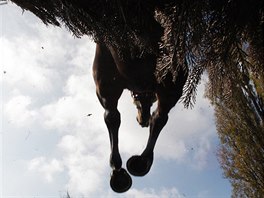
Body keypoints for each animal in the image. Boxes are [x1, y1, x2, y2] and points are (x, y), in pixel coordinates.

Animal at [93, 42, 188, 193]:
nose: (142, 121)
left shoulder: (107, 91)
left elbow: (112, 119)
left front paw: (119, 171)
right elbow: (113, 118)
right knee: (160, 117)